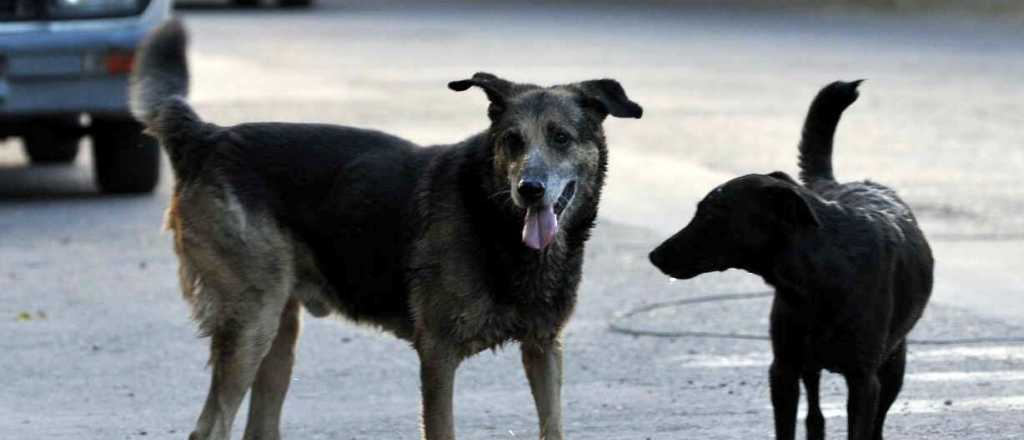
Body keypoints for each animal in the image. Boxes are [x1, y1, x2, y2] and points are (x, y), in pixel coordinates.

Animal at [651, 79, 933, 440]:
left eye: (712, 215)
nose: (654, 255)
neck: (815, 279)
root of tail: (834, 183)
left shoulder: (863, 381)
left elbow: (861, 425)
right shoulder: (782, 370)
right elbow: (786, 424)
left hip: (894, 362)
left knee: (876, 418)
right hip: (807, 361)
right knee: (814, 411)